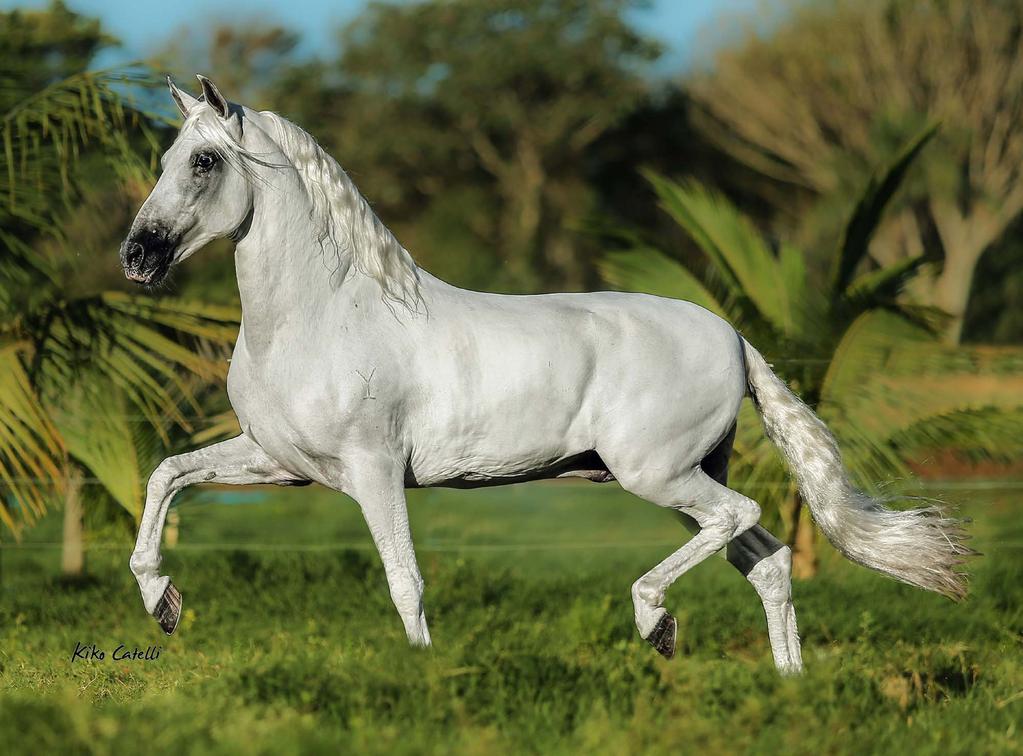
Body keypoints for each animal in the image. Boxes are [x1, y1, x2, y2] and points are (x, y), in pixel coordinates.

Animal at [121, 79, 965, 675]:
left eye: (204, 161)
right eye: (162, 161)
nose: (137, 255)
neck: (323, 314)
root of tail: (730, 335)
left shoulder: (372, 471)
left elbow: (405, 581)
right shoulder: (280, 463)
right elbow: (168, 474)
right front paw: (161, 602)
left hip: (657, 475)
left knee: (742, 523)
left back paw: (655, 622)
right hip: (685, 478)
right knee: (767, 559)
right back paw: (786, 685)